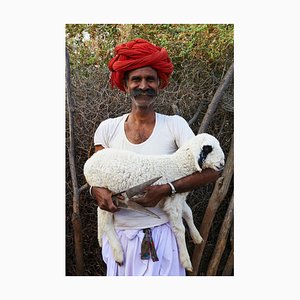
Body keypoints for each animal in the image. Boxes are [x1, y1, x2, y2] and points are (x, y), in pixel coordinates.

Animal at [83, 132, 224, 270]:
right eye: (208, 149)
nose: (222, 164)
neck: (178, 166)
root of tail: (89, 163)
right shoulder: (173, 202)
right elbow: (180, 229)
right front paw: (186, 261)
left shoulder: (177, 197)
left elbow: (188, 213)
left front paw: (197, 237)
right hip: (104, 192)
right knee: (106, 222)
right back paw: (118, 254)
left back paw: (101, 239)